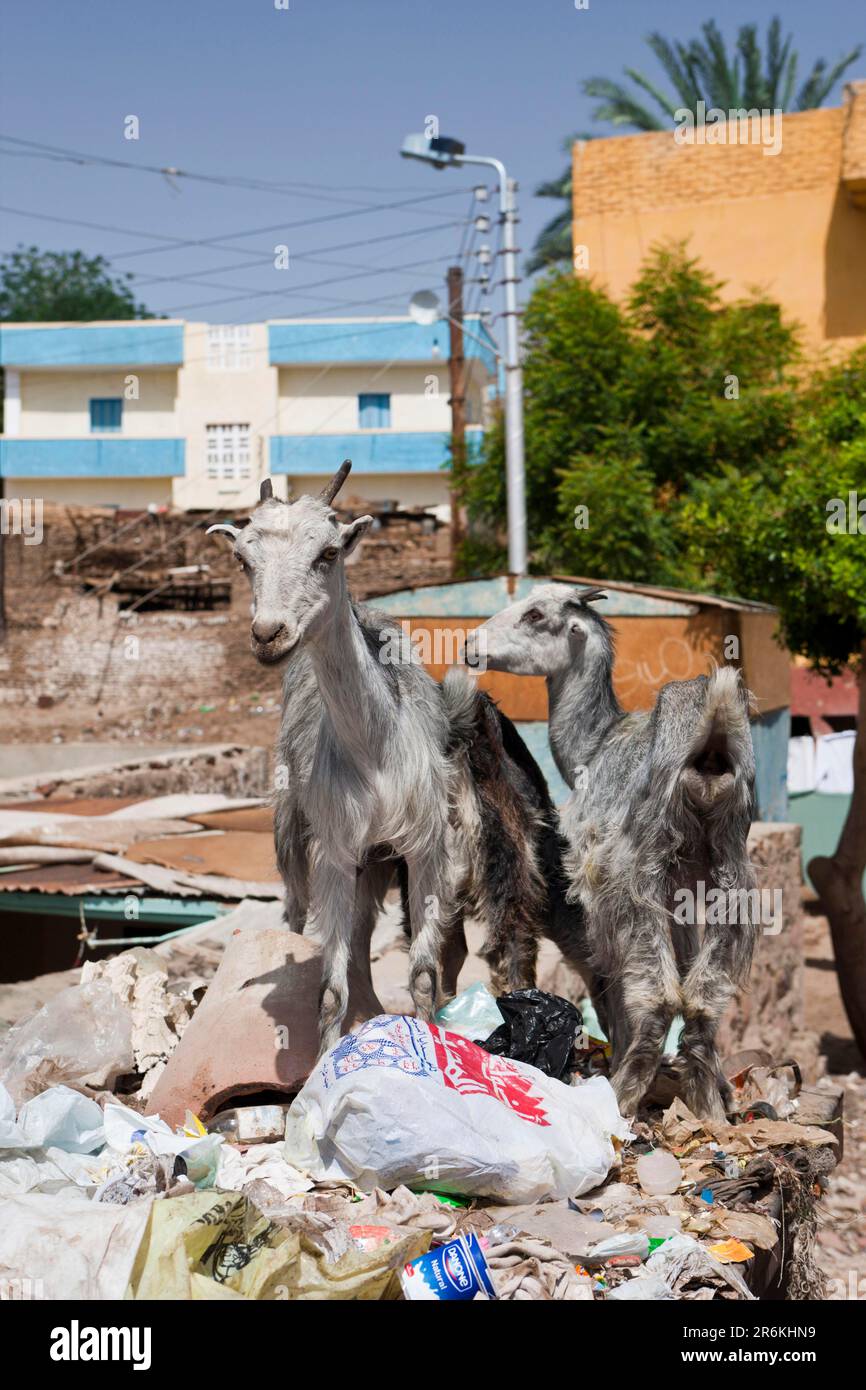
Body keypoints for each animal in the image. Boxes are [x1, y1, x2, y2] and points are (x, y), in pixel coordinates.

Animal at [470, 583, 757, 1121]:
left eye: (535, 614)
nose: (469, 645)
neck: (595, 745)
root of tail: (713, 731)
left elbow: (615, 992)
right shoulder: (687, 884)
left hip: (637, 870)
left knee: (659, 997)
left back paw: (620, 1097)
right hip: (732, 870)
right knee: (701, 1000)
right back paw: (710, 1109)